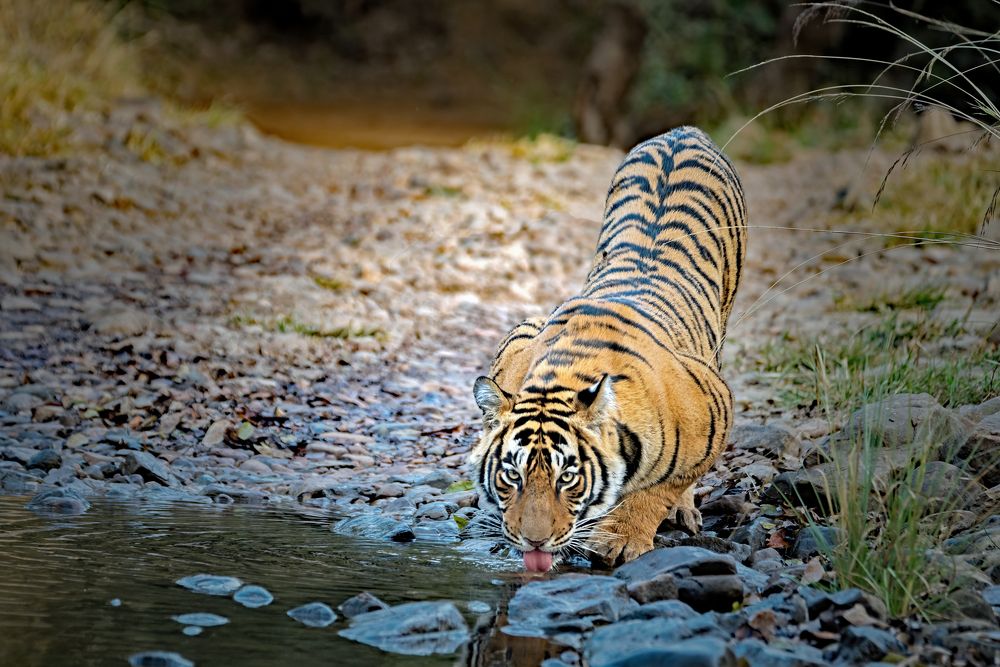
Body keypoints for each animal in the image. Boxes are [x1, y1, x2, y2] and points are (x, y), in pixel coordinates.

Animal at [469, 126, 747, 571]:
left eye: (568, 478)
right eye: (512, 475)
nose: (533, 541)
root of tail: (681, 131)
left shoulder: (714, 404)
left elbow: (661, 487)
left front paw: (623, 538)